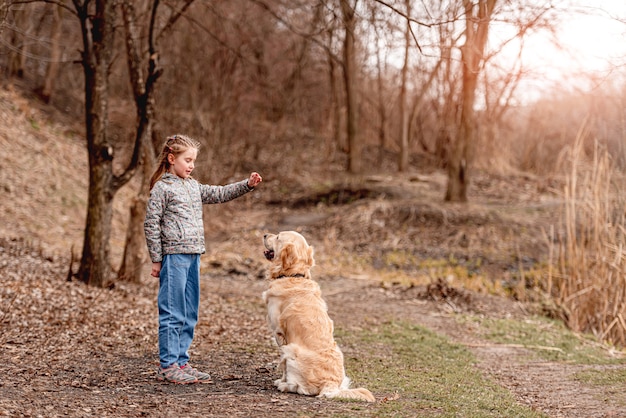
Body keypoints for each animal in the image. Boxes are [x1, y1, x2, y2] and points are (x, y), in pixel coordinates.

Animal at [260, 232, 372, 402]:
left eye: (278, 237)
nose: (265, 234)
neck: (294, 275)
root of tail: (331, 385)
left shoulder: (280, 335)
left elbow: (283, 365)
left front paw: (281, 381)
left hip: (292, 350)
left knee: (303, 389)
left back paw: (286, 386)